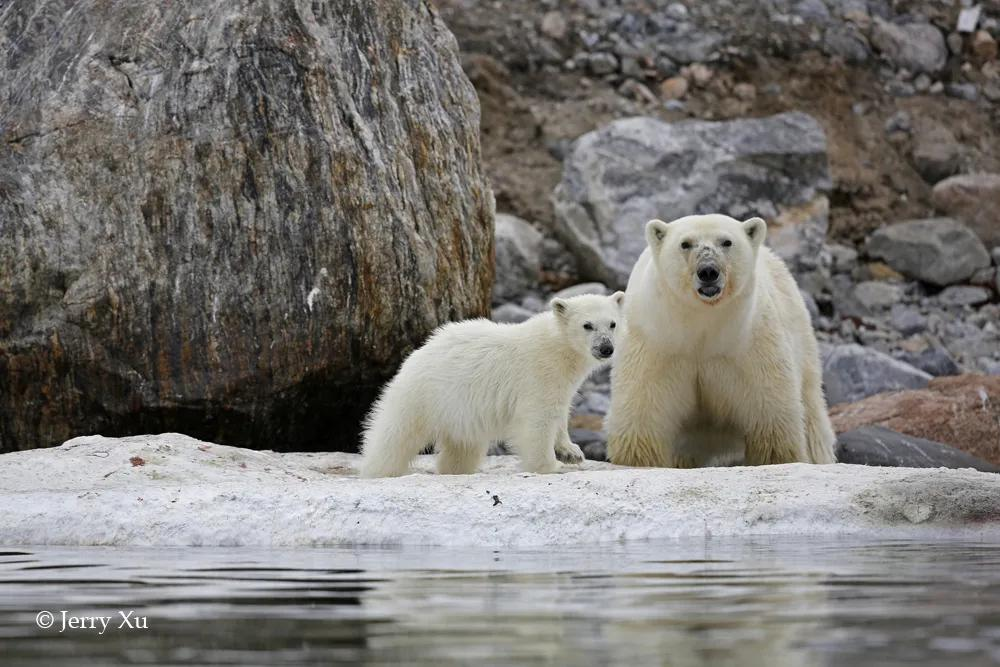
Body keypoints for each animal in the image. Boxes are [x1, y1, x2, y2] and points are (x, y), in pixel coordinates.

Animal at [608, 214, 836, 470]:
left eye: (726, 242)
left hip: (802, 339)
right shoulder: (656, 346)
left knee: (812, 417)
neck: (701, 330)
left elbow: (770, 415)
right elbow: (643, 414)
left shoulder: (751, 344)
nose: (708, 271)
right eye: (685, 243)